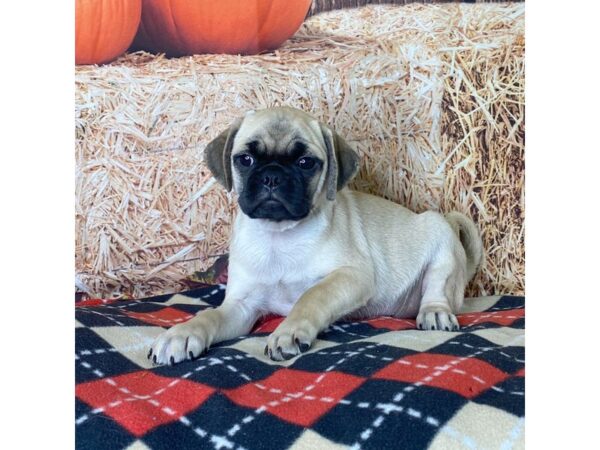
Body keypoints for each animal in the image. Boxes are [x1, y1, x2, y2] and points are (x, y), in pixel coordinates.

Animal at [149, 106, 482, 366]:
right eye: (245, 160)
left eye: (305, 163)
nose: (272, 176)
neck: (278, 235)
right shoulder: (241, 308)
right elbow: (210, 315)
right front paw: (182, 334)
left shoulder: (351, 276)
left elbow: (311, 296)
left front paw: (288, 331)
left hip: (441, 239)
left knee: (437, 290)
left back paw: (435, 312)